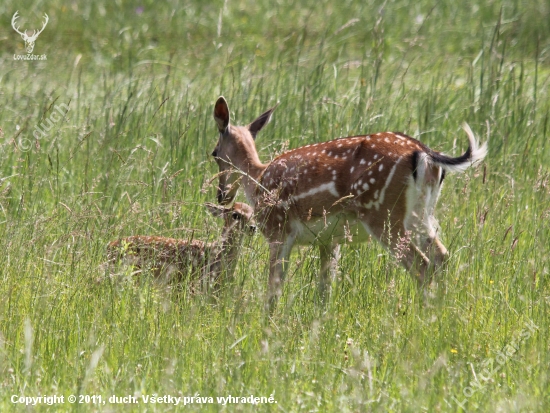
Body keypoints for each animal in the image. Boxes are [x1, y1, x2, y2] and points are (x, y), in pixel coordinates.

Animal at [212, 96, 492, 308]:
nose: (221, 194)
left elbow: (274, 289)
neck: (258, 178)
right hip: (421, 214)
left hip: (383, 213)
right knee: (441, 257)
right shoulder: (329, 240)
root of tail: (424, 153)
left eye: (214, 154)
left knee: (422, 265)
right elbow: (324, 291)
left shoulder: (277, 230)